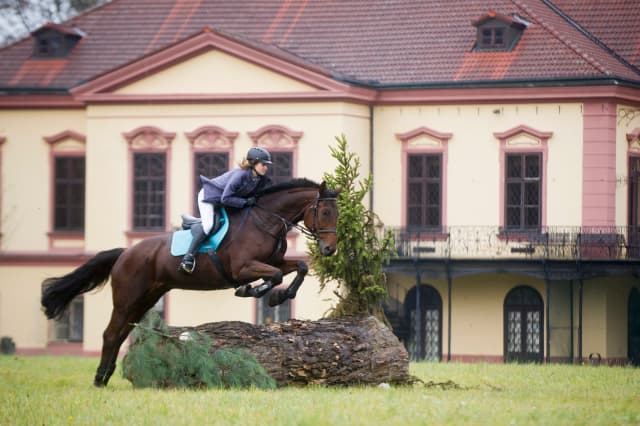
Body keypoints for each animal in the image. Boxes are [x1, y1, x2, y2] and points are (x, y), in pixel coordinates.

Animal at [40, 178, 340, 388]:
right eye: (324, 212)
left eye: (335, 213)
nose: (329, 250)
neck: (265, 221)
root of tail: (125, 253)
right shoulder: (243, 267)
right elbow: (273, 277)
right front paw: (257, 292)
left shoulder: (274, 261)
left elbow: (299, 268)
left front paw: (280, 295)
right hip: (127, 299)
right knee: (110, 334)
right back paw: (99, 379)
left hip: (145, 299)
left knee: (121, 333)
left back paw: (106, 376)